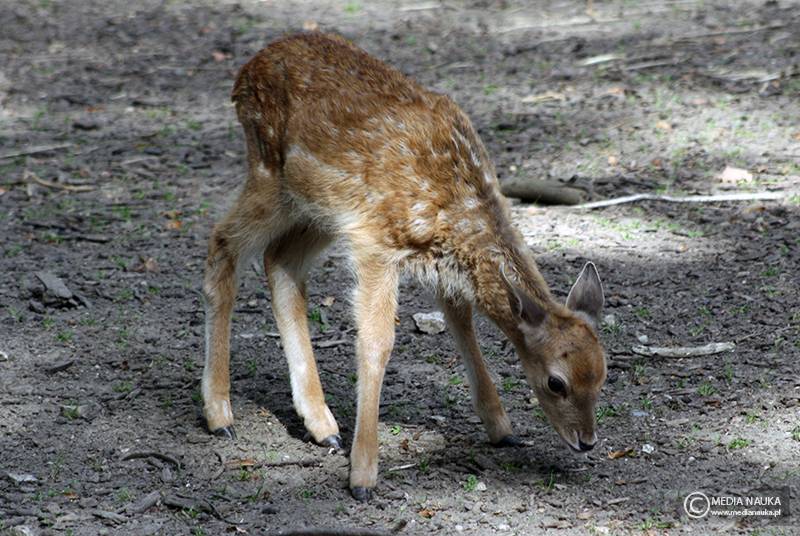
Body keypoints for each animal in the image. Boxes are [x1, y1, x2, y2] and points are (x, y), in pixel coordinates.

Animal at [202, 32, 608, 502]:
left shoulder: (441, 265)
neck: (455, 213)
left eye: (602, 375)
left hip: (316, 209)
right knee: (223, 242)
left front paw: (501, 428)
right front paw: (363, 475)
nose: (586, 441)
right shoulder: (375, 243)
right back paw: (221, 414)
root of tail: (246, 71)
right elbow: (377, 342)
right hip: (270, 172)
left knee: (279, 261)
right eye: (555, 382)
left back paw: (321, 425)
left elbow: (461, 322)